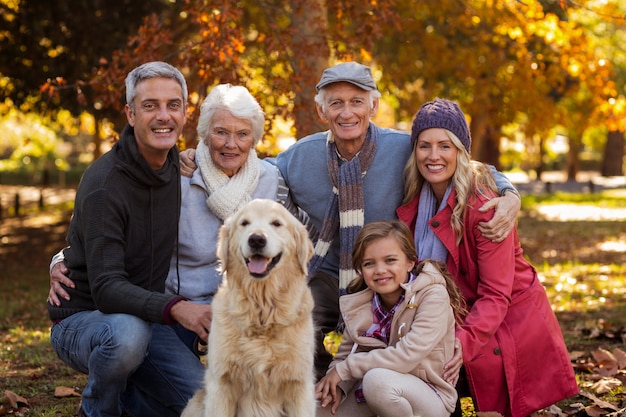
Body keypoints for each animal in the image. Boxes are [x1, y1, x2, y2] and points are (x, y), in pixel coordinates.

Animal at [182, 198, 316, 416]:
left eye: (276, 223)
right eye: (244, 223)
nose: (257, 239)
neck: (261, 312)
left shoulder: (299, 385)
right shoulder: (221, 383)